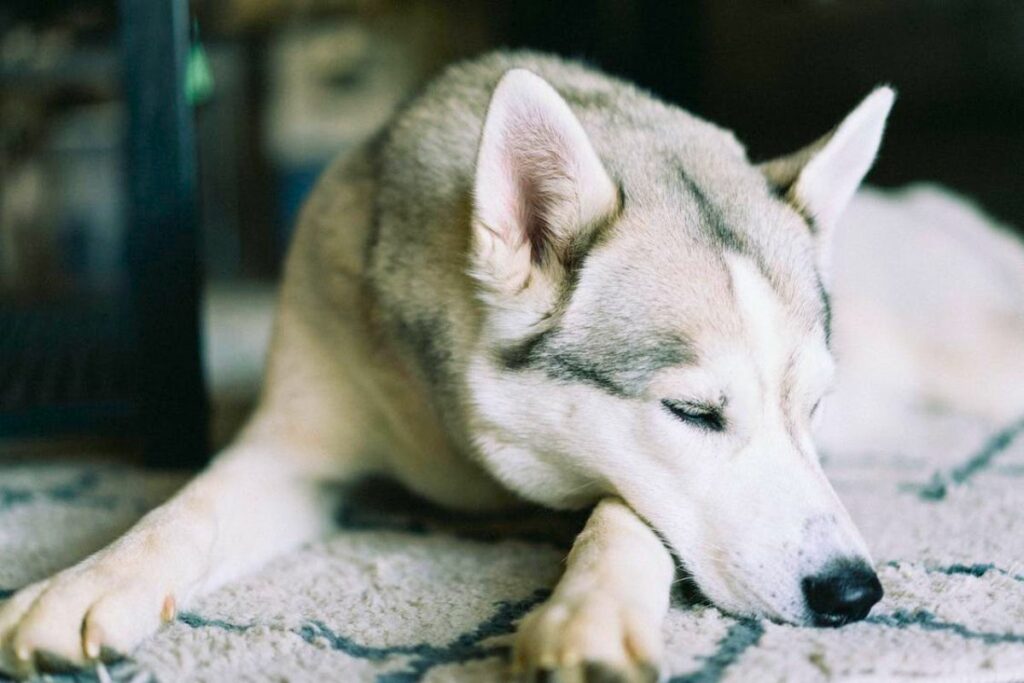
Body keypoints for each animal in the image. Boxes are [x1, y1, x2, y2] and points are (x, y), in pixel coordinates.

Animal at [0, 52, 892, 679]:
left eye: (813, 407)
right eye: (694, 413)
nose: (855, 591)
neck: (459, 442)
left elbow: (624, 513)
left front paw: (593, 610)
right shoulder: (295, 448)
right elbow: (183, 511)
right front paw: (86, 583)